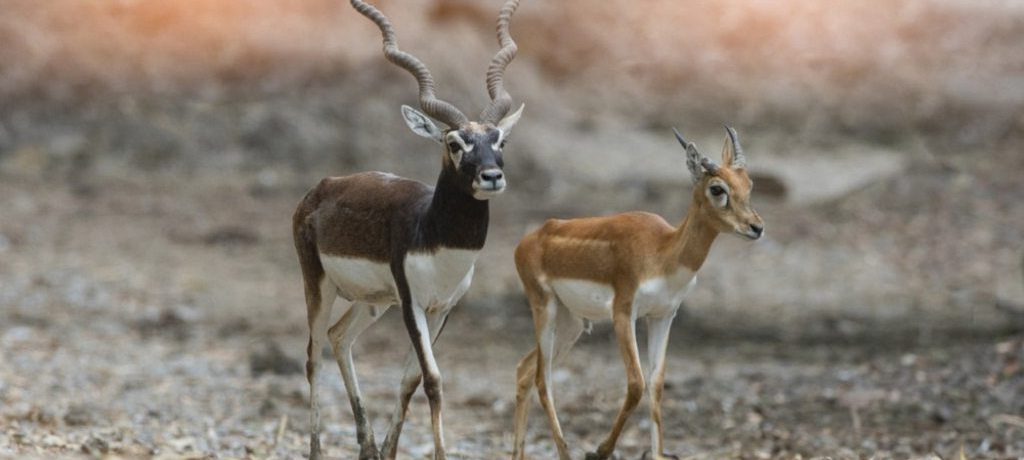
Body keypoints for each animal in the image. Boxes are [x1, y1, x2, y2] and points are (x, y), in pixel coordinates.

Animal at [292, 1, 524, 456]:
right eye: (454, 143)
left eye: (500, 140)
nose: (491, 176)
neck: (436, 237)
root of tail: (321, 188)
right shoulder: (412, 304)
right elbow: (433, 380)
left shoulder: (443, 308)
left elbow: (411, 380)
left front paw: (390, 451)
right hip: (319, 284)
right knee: (313, 354)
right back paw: (316, 449)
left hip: (373, 301)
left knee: (339, 338)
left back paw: (367, 447)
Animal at [509, 127, 761, 458]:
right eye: (717, 189)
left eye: (749, 184)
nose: (756, 227)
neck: (663, 252)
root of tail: (527, 241)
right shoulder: (623, 312)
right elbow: (636, 383)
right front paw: (599, 450)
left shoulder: (663, 316)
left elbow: (656, 383)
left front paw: (657, 453)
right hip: (545, 309)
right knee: (542, 378)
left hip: (570, 324)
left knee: (525, 371)